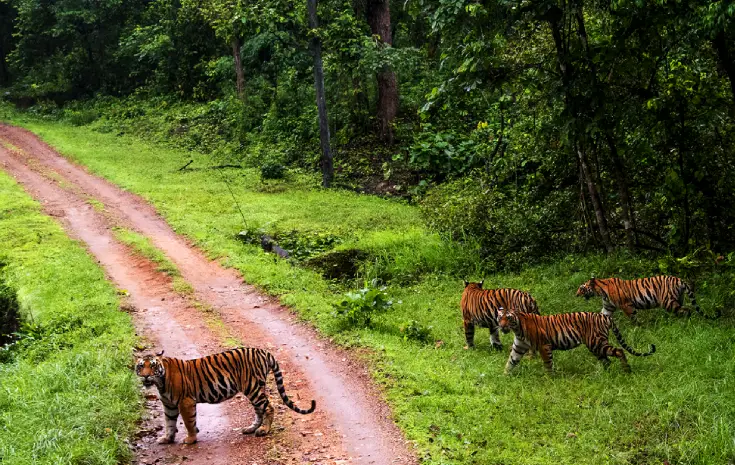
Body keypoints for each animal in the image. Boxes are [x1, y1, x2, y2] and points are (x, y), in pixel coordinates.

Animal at [135, 347, 316, 445]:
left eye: (152, 366)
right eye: (141, 366)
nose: (146, 376)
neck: (161, 382)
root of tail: (263, 351)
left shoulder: (185, 402)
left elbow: (188, 422)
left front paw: (191, 439)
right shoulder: (169, 405)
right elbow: (169, 423)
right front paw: (167, 439)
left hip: (253, 387)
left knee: (268, 407)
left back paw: (264, 430)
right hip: (255, 389)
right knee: (259, 410)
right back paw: (251, 429)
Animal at [498, 308, 656, 374]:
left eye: (508, 318)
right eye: (500, 317)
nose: (502, 326)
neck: (517, 330)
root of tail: (605, 316)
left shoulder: (544, 346)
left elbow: (548, 364)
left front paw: (549, 379)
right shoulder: (518, 347)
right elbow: (510, 362)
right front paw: (504, 376)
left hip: (596, 343)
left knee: (619, 351)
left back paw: (626, 371)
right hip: (596, 346)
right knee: (607, 360)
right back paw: (605, 374)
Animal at [576, 276, 720, 320]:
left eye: (582, 288)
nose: (576, 294)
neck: (601, 291)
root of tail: (678, 279)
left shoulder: (627, 305)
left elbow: (633, 318)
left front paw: (639, 328)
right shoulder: (608, 307)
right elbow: (602, 315)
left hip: (668, 302)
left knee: (687, 310)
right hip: (678, 299)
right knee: (682, 309)